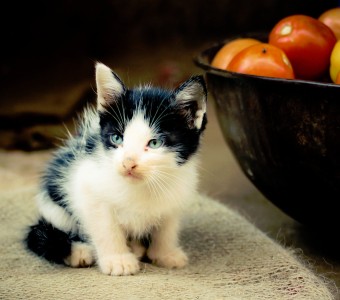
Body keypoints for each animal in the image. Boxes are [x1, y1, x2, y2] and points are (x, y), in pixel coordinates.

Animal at [25, 62, 207, 276]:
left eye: (155, 143)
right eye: (117, 138)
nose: (128, 163)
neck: (142, 186)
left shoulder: (176, 193)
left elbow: (167, 227)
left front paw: (165, 254)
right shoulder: (87, 185)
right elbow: (106, 227)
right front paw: (117, 260)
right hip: (56, 204)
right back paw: (80, 251)